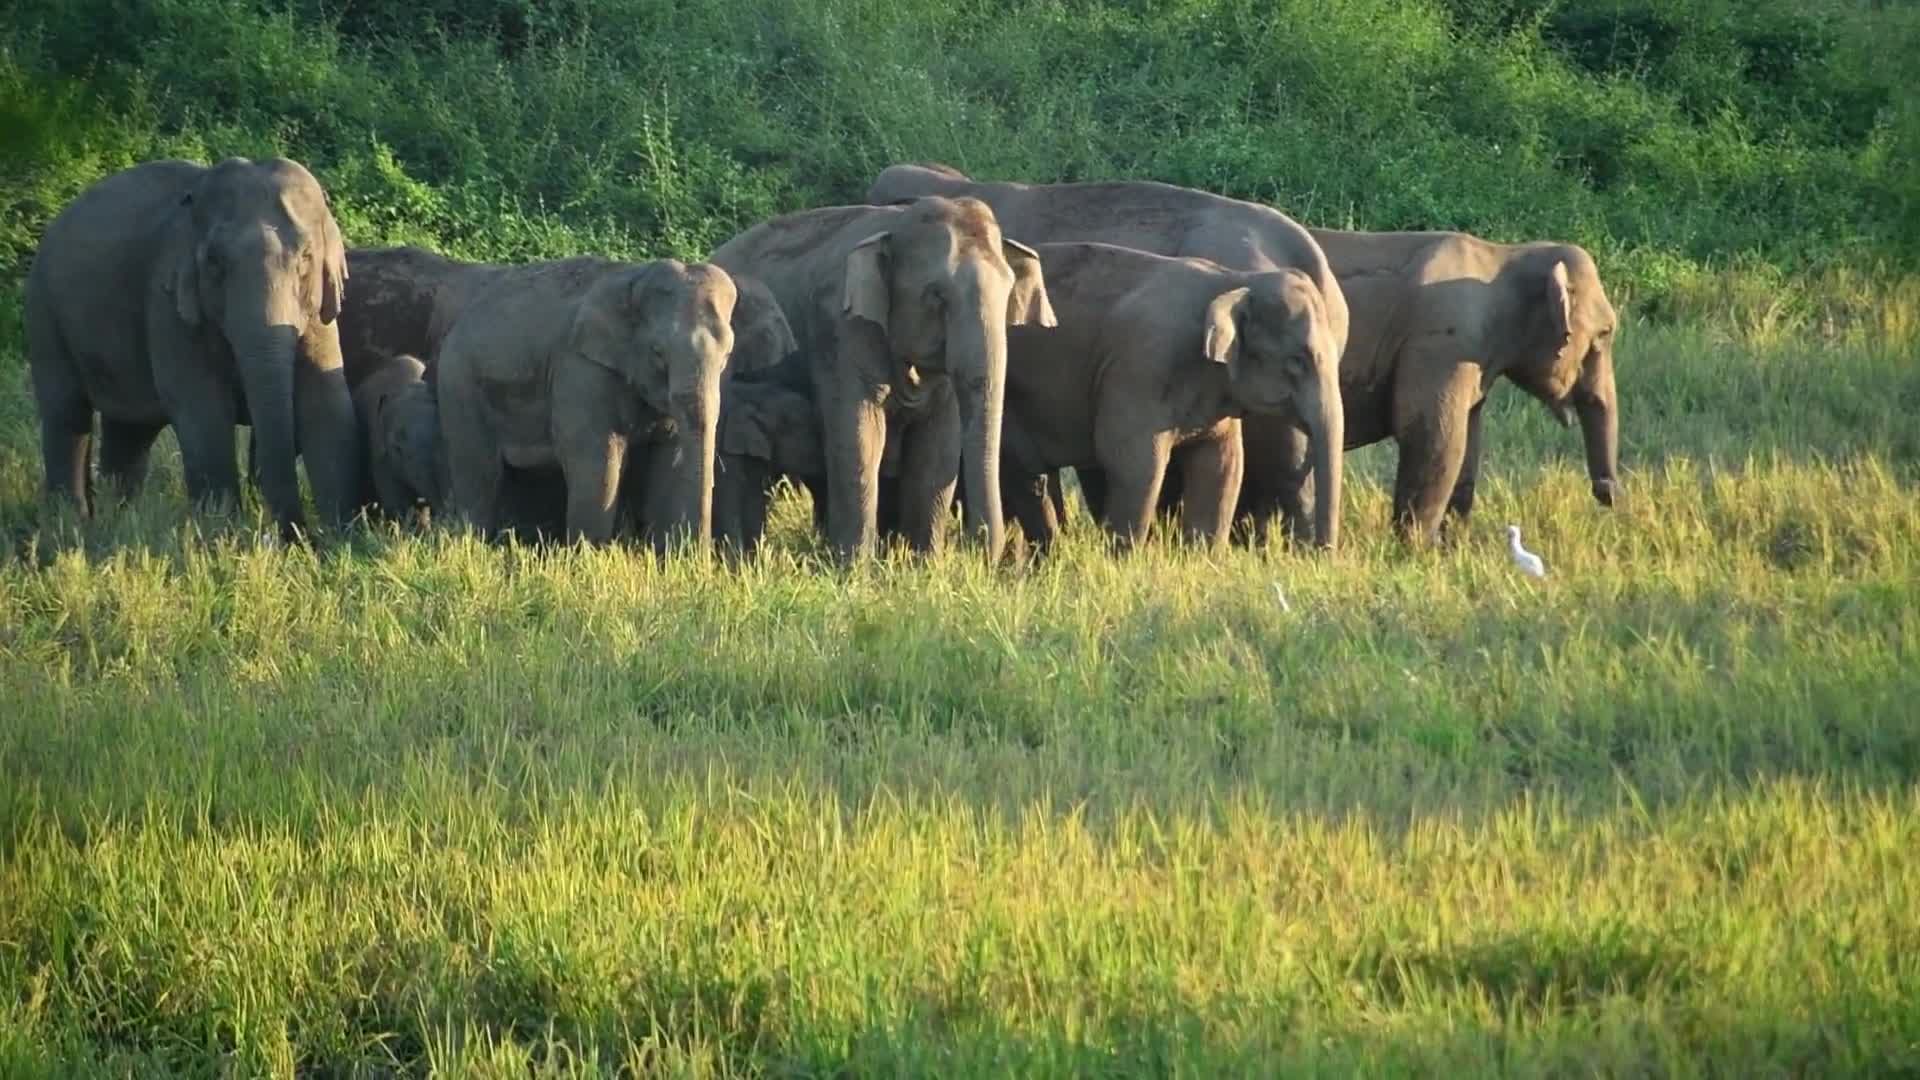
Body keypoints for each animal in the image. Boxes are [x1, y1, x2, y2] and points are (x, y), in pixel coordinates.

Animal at [25, 157, 360, 538]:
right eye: (214, 262)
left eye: (306, 256)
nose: (298, 536)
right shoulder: (169, 302)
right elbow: (202, 409)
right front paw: (223, 536)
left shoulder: (320, 314)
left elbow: (326, 400)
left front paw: (343, 536)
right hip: (44, 312)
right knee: (66, 413)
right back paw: (71, 524)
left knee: (130, 430)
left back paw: (118, 520)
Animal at [434, 257, 737, 546]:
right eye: (658, 352)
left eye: (726, 355)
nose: (704, 555)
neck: (635, 278)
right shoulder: (580, 369)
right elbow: (594, 457)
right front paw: (588, 555)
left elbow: (670, 459)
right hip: (458, 384)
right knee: (480, 472)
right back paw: (472, 543)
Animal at [709, 195, 1056, 562]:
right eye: (937, 296)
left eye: (1008, 292)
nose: (976, 550)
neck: (897, 224)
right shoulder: (840, 330)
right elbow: (860, 438)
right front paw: (854, 567)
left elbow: (938, 449)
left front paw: (925, 564)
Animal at [992, 242, 1342, 550]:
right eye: (1297, 361)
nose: (1320, 553)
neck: (1233, 280)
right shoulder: (1140, 367)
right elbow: (1134, 464)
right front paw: (1125, 561)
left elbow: (1222, 465)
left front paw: (1202, 559)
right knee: (1029, 475)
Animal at [1078, 232, 1622, 543]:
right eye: (1606, 334)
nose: (1609, 497)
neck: (1503, 256)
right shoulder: (1441, 341)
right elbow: (1432, 438)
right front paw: (1414, 553)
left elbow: (1466, 444)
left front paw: (1449, 547)